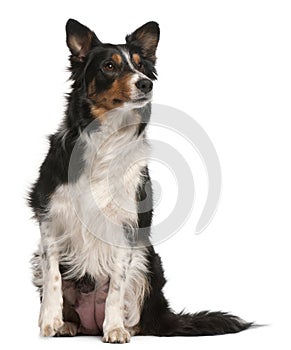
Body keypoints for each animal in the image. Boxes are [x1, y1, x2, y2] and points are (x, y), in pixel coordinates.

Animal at [29, 18, 253, 342]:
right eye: (109, 66)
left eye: (141, 66)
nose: (146, 83)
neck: (106, 137)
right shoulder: (50, 216)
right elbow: (53, 277)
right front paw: (50, 320)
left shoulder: (128, 225)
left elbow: (116, 285)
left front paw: (114, 329)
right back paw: (67, 325)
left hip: (148, 259)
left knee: (138, 315)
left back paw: (124, 326)